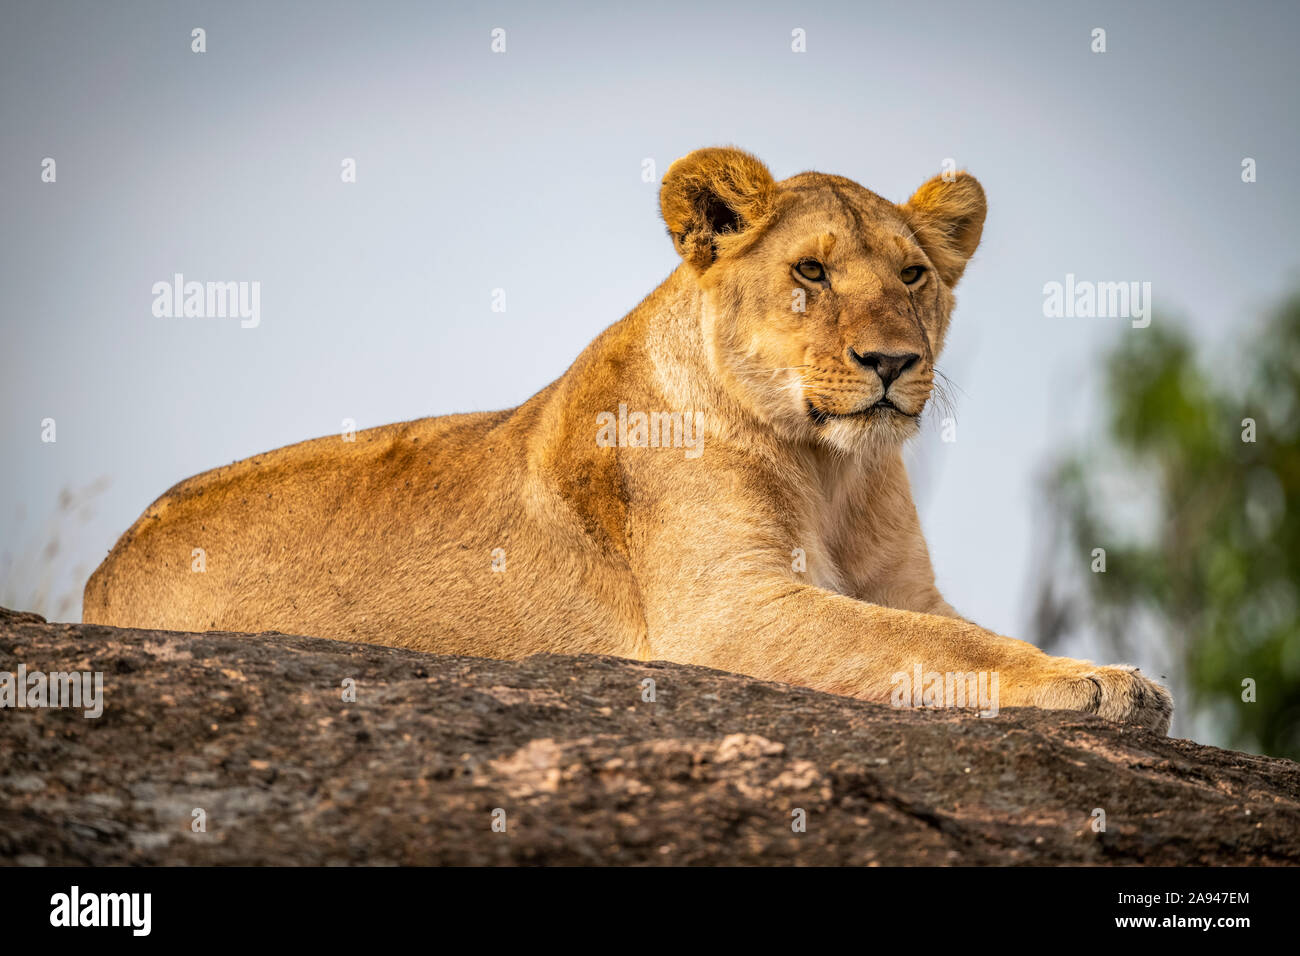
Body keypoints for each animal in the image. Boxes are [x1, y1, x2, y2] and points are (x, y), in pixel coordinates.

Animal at [83, 146, 1173, 733]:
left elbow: (948, 625)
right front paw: (1102, 682)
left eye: (912, 275)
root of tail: (98, 575)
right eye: (811, 272)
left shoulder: (899, 582)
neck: (833, 473)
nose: (891, 362)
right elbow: (937, 643)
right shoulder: (727, 614)